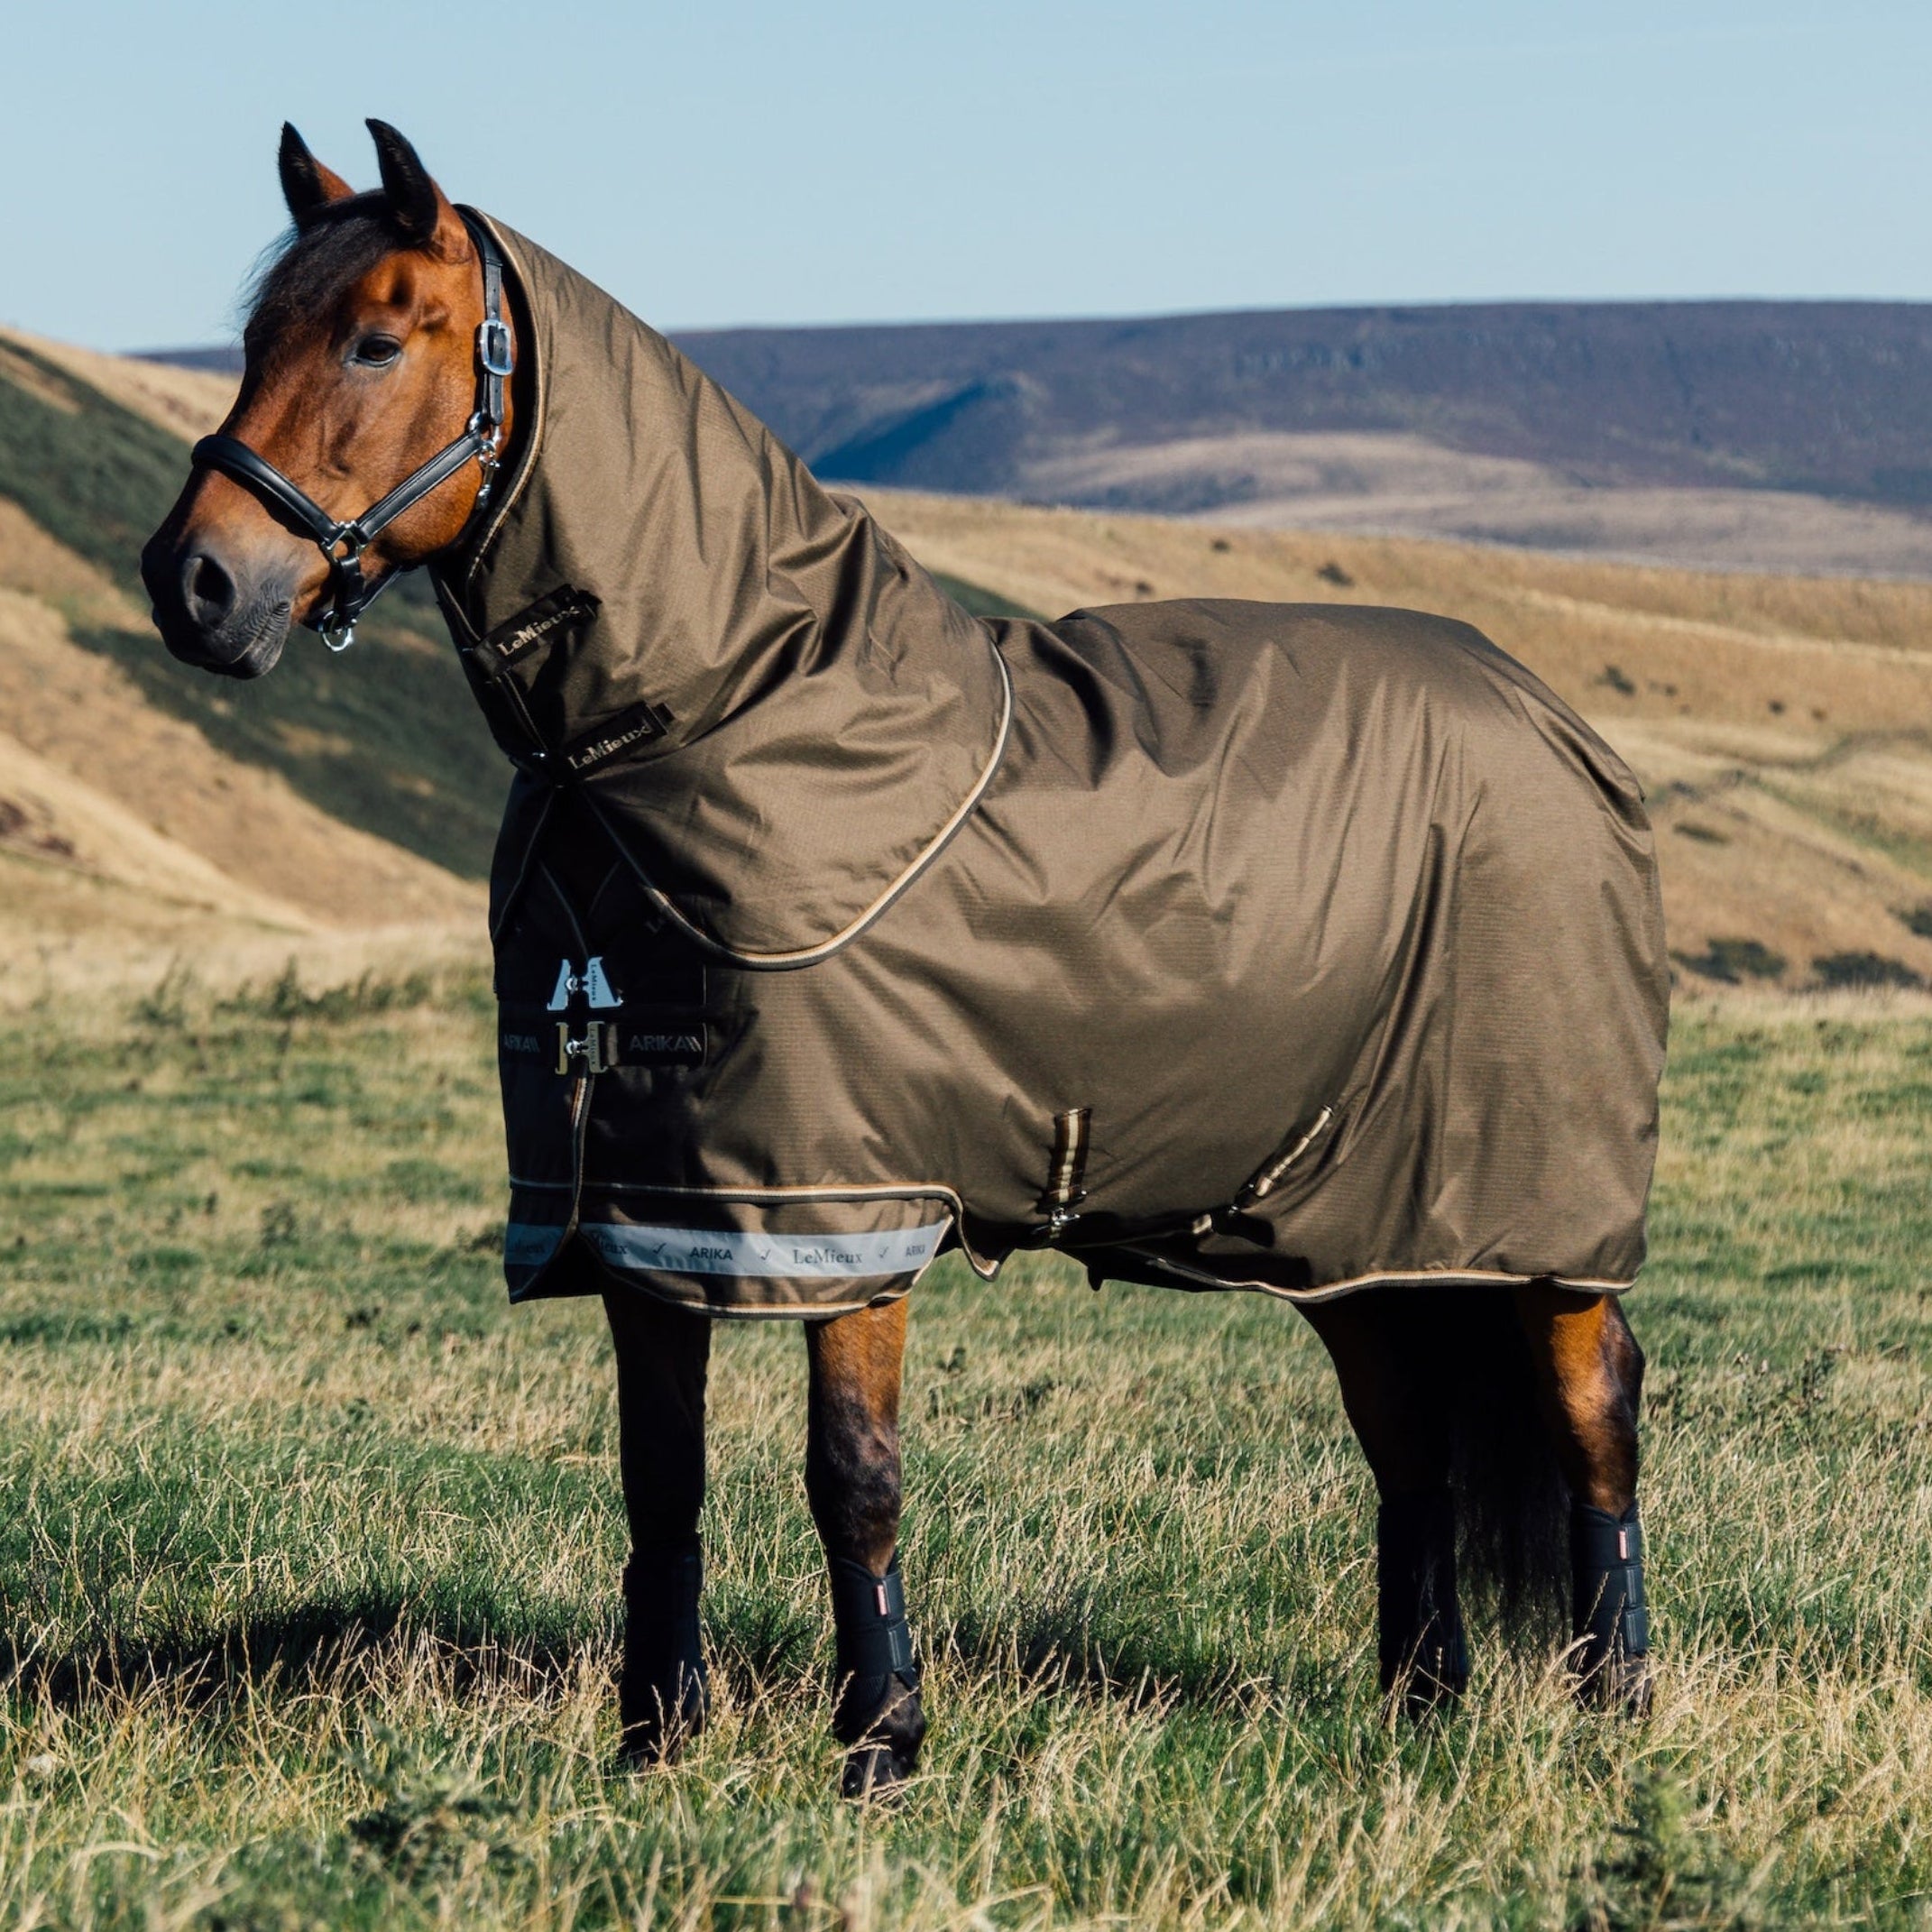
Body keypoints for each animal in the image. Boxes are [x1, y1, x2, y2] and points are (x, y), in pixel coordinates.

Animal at [142, 120, 1665, 1799]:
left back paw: (1616, 1702)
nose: (192, 583)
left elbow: (850, 1476)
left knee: (1592, 1408)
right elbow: (658, 1482)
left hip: (1535, 1200)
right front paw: (652, 1740)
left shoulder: (848, 1206)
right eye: (253, 338)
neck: (727, 712)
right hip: (1357, 1213)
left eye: (373, 337)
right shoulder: (638, 1214)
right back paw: (1421, 1697)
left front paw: (880, 1741)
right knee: (1409, 1432)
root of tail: (1548, 721)